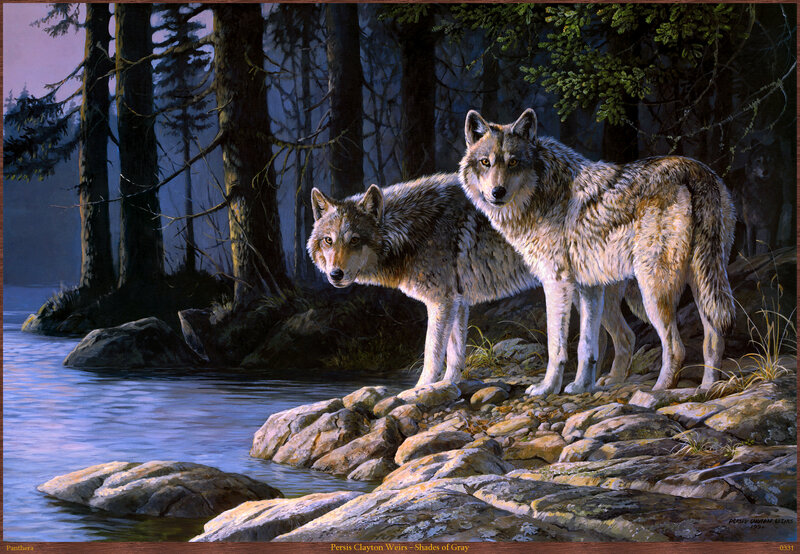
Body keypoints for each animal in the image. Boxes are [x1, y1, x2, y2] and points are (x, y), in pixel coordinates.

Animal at [308, 173, 638, 388]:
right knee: (617, 338)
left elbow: (432, 354)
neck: (410, 230)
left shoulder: (440, 303)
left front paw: (417, 392)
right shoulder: (457, 302)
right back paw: (603, 384)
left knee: (617, 338)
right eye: (328, 241)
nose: (335, 275)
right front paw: (446, 387)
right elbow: (455, 354)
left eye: (354, 240)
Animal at [460, 108, 735, 395]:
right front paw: (581, 386)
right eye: (485, 162)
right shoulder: (588, 287)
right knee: (707, 339)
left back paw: (658, 390)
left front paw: (547, 388)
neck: (541, 190)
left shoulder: (556, 283)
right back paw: (705, 388)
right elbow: (588, 345)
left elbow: (557, 346)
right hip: (699, 283)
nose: (497, 192)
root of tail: (695, 170)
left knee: (675, 346)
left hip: (653, 290)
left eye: (513, 162)